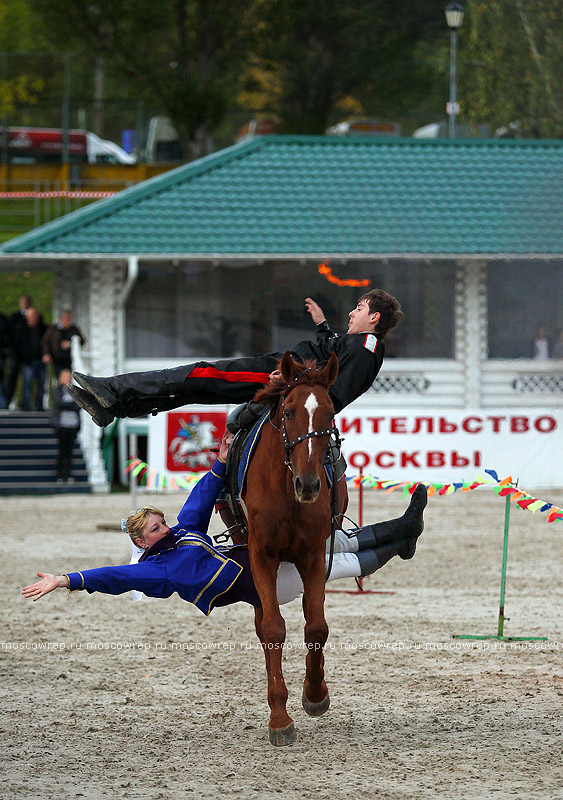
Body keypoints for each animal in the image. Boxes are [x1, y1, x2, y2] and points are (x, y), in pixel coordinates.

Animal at [243, 354, 346, 748]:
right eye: (288, 412)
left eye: (330, 413)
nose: (309, 484)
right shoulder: (261, 555)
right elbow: (273, 629)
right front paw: (279, 717)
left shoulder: (314, 555)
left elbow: (316, 627)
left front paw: (315, 694)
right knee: (263, 625)